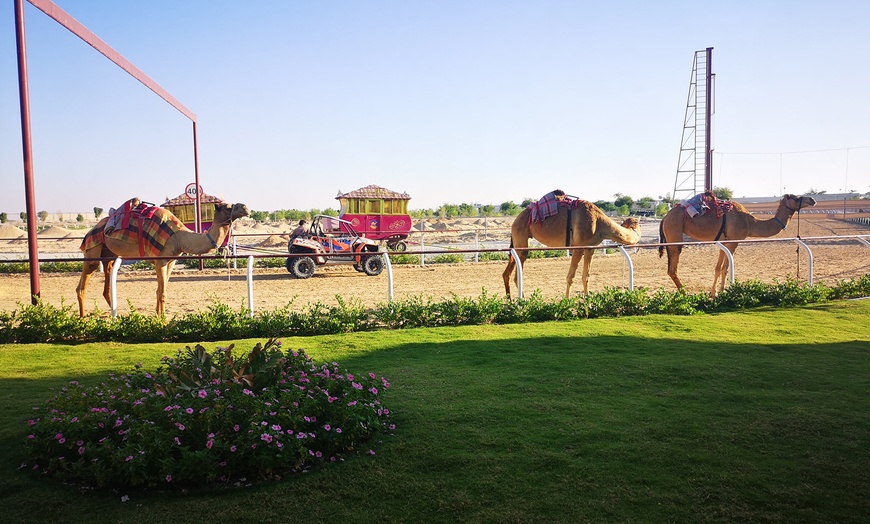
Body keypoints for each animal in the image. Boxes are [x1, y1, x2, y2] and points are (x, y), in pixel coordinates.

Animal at [76, 201, 250, 316]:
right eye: (228, 207)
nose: (246, 208)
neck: (179, 237)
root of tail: (92, 229)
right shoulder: (160, 260)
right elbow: (162, 293)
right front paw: (163, 320)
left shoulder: (171, 261)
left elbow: (160, 290)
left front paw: (157, 317)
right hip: (92, 250)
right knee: (82, 285)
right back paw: (83, 319)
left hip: (109, 254)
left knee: (107, 281)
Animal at [500, 201, 644, 296]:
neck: (599, 222)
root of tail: (514, 221)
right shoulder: (578, 247)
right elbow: (570, 277)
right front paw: (566, 301)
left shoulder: (590, 248)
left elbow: (586, 276)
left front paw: (588, 302)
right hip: (521, 237)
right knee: (517, 274)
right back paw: (523, 302)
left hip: (517, 242)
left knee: (507, 273)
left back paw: (510, 301)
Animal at [660, 194, 816, 296]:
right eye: (796, 198)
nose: (812, 200)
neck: (750, 222)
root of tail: (665, 217)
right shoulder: (734, 241)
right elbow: (725, 269)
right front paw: (723, 292)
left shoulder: (724, 241)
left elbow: (718, 268)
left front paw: (714, 293)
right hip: (675, 233)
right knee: (672, 269)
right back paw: (685, 293)